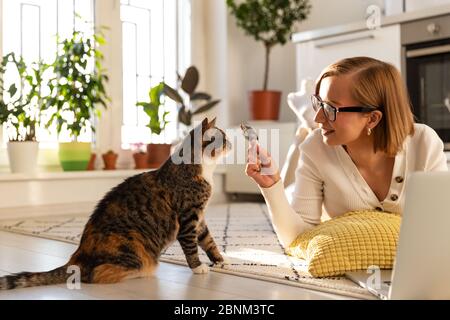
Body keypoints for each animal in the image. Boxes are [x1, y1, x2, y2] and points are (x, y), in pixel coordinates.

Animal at [0, 117, 230, 290]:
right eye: (222, 139)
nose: (232, 143)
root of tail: (77, 257)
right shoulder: (188, 218)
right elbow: (191, 246)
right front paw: (198, 267)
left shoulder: (199, 218)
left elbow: (209, 241)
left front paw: (221, 260)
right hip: (134, 248)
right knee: (96, 275)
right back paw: (143, 273)